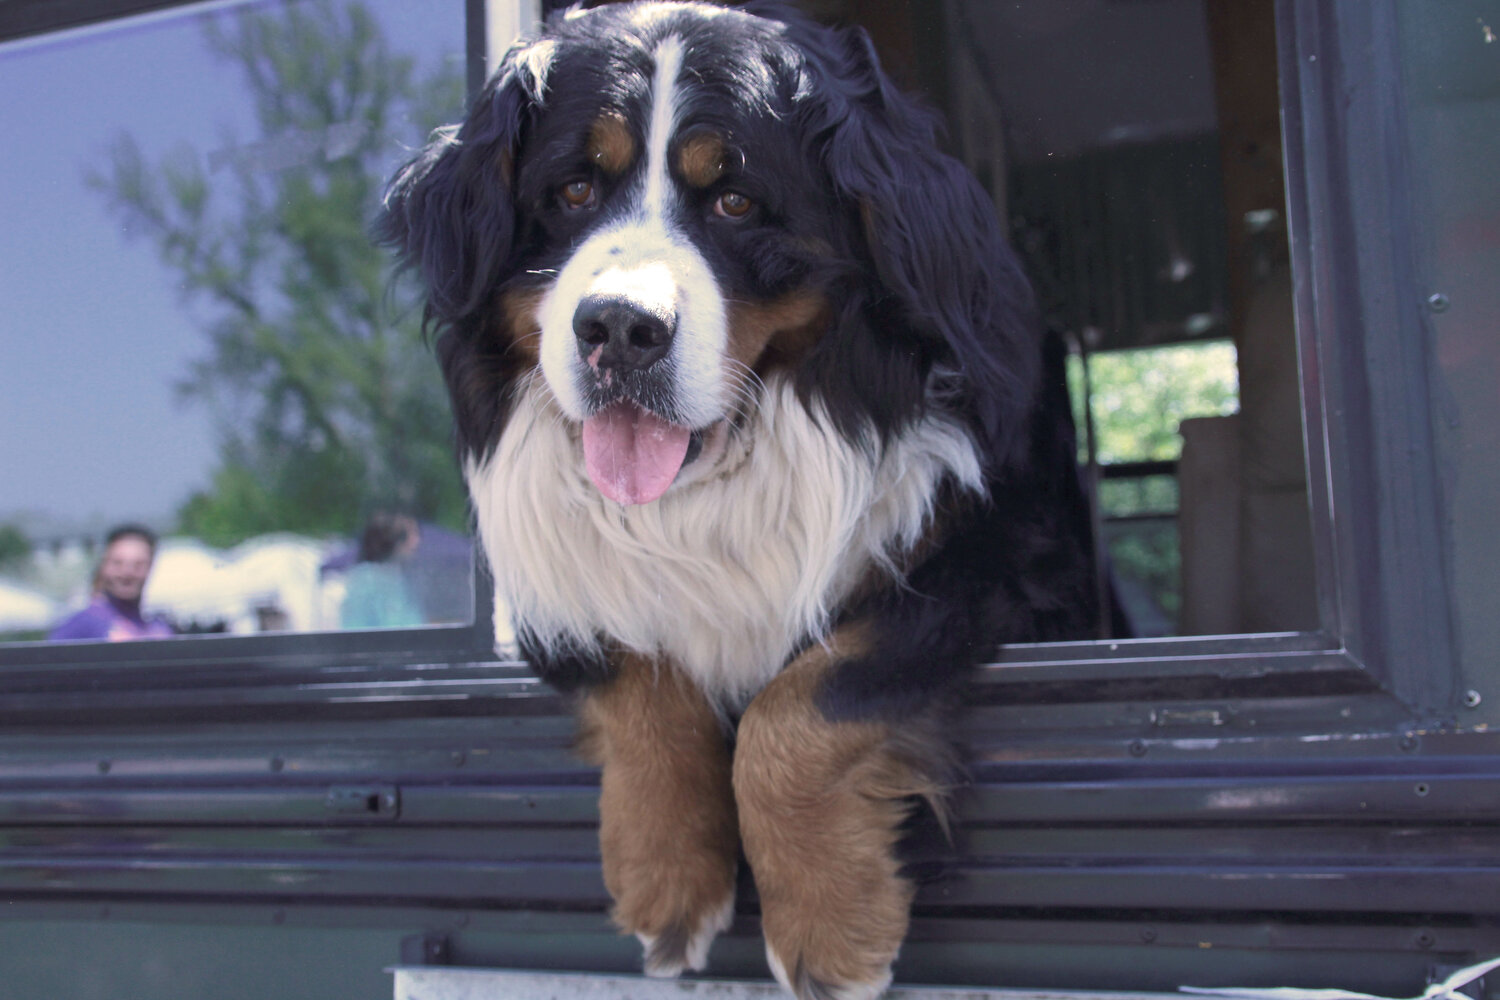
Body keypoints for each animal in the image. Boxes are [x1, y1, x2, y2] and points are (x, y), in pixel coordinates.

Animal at [381, 3, 1098, 995]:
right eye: (573, 191)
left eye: (734, 201)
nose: (619, 328)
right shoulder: (554, 575)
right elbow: (637, 676)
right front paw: (666, 885)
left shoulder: (998, 552)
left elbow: (805, 700)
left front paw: (830, 930)